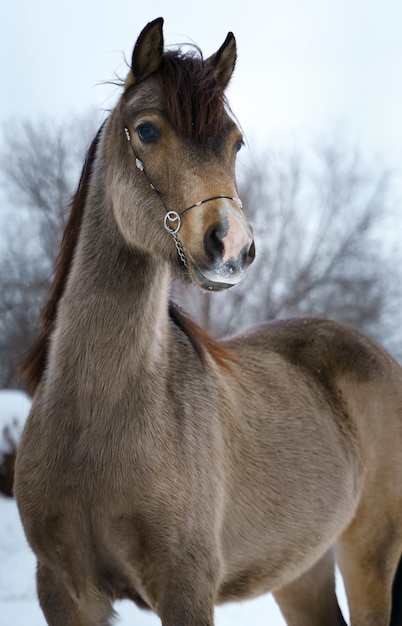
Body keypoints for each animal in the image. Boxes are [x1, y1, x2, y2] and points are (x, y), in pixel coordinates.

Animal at [14, 17, 402, 620]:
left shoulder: (186, 589)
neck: (96, 416)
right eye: (146, 131)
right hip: (300, 572)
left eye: (235, 141)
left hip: (368, 555)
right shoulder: (62, 591)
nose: (233, 246)